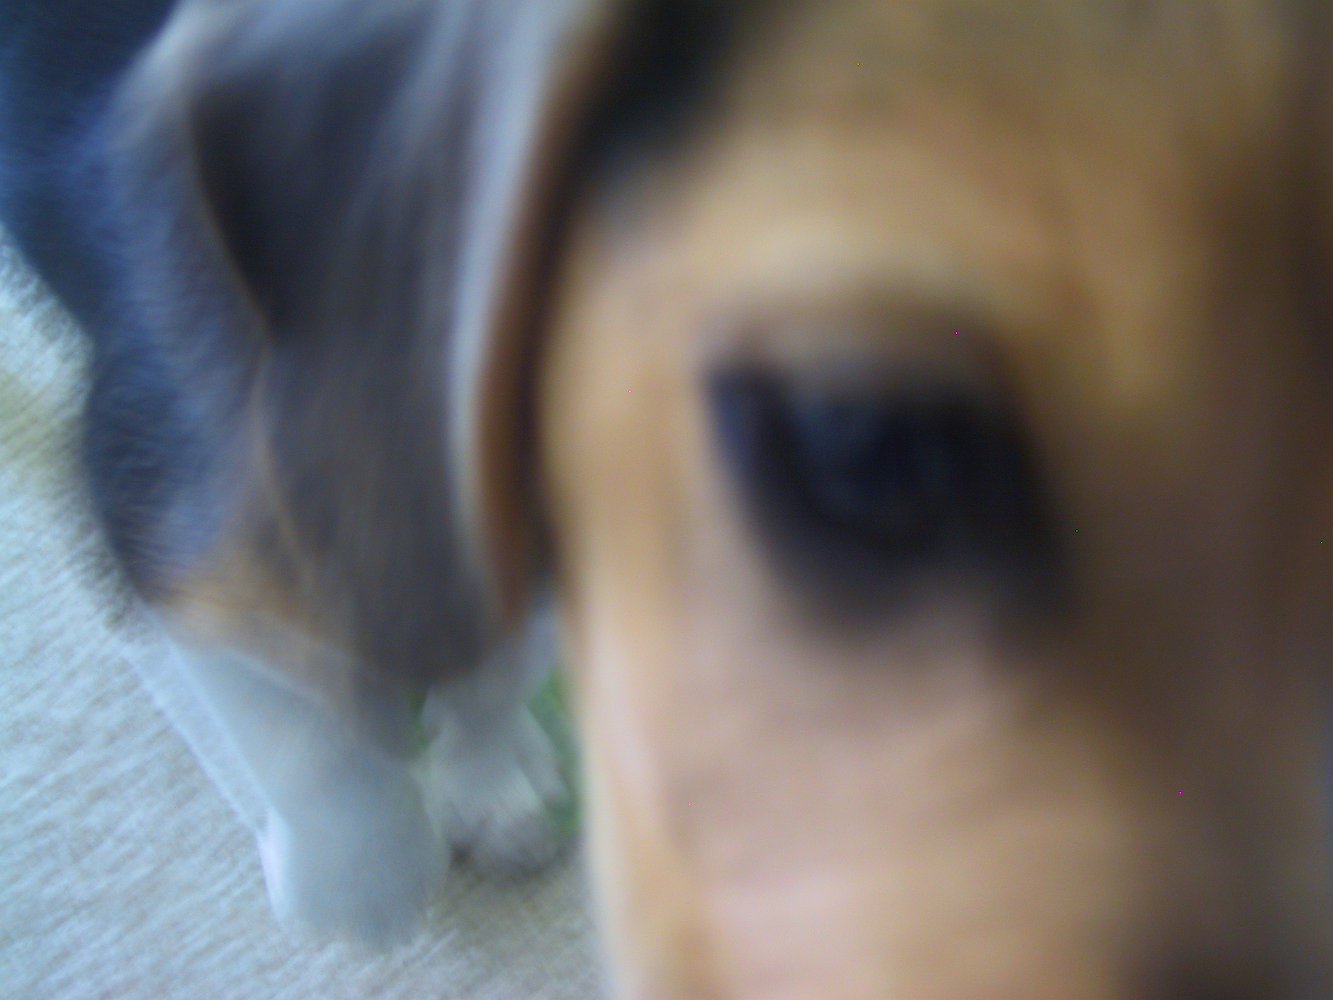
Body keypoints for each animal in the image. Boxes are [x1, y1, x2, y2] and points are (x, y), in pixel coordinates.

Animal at [3, 0, 1331, 996]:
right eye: (863, 441)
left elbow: (483, 663)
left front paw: (487, 775)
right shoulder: (152, 528)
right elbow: (304, 735)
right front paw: (362, 873)